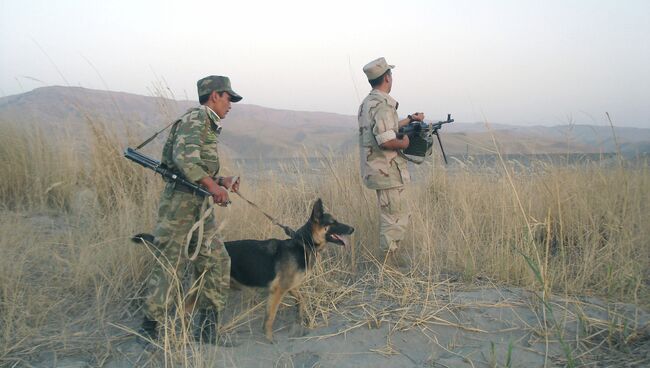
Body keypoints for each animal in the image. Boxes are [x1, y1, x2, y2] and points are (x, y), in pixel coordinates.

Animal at [134, 198, 352, 342]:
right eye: (333, 223)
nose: (352, 229)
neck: (303, 243)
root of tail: (199, 251)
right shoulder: (278, 291)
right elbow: (270, 317)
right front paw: (269, 338)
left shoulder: (290, 287)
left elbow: (302, 299)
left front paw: (300, 317)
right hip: (203, 287)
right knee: (183, 308)